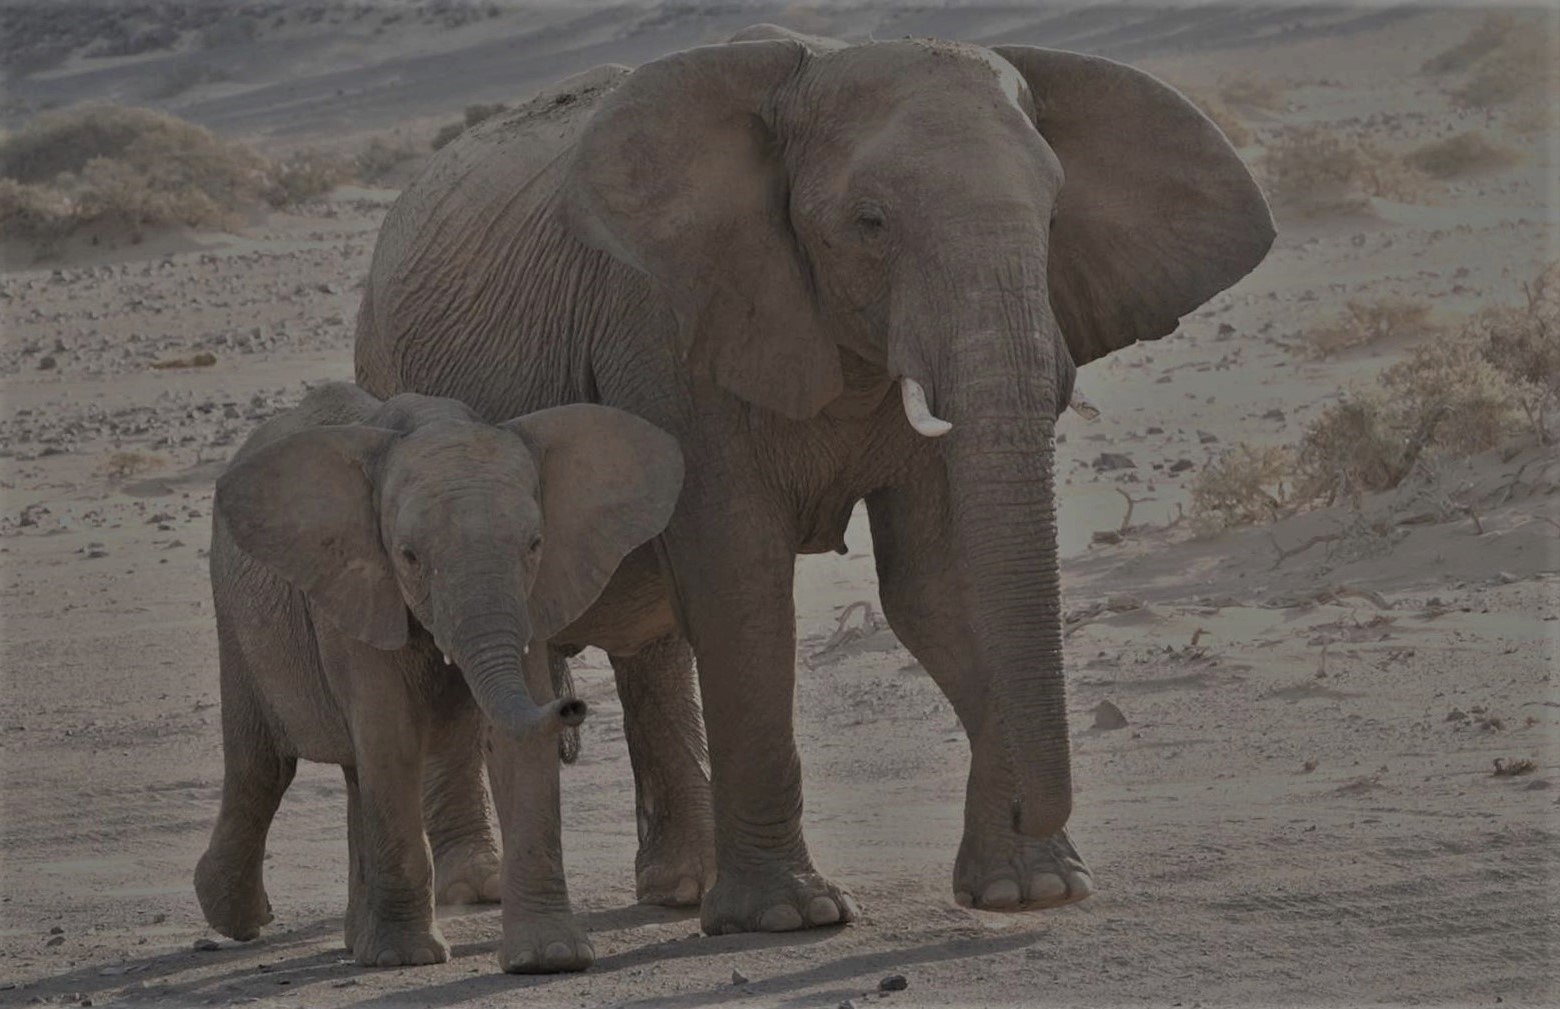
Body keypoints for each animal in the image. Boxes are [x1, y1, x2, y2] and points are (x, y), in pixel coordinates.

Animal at [195, 381, 686, 971]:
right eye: (408, 556)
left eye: (534, 544)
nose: (574, 708)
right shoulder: (359, 590)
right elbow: (391, 736)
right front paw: (407, 958)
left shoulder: (529, 598)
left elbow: (513, 746)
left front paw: (551, 957)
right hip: (234, 613)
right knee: (262, 766)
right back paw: (240, 918)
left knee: (352, 773)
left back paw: (354, 939)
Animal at [352, 24, 1275, 936]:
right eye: (869, 223)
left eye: (1053, 216)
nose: (1039, 820)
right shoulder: (669, 332)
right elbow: (741, 581)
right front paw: (793, 915)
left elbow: (939, 584)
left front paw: (1031, 887)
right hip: (391, 382)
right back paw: (478, 886)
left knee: (650, 642)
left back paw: (680, 886)